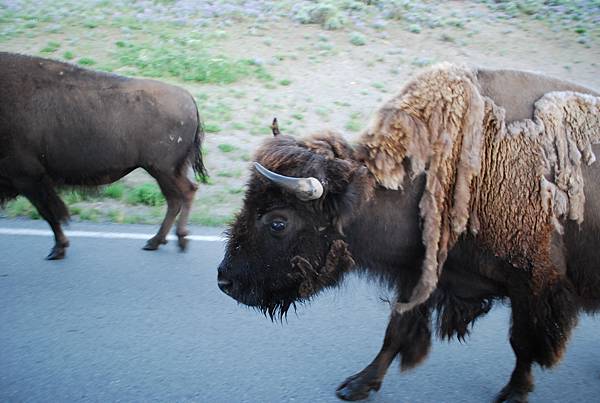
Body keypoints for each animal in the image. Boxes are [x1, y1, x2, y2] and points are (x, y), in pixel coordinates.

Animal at [0, 52, 206, 258]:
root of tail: (189, 98)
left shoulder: (28, 178)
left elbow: (49, 213)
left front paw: (58, 249)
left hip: (163, 170)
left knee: (184, 194)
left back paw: (175, 239)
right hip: (167, 171)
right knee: (177, 197)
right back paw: (156, 241)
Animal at [219, 64, 600, 402]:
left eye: (278, 222)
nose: (225, 281)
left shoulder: (534, 285)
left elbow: (522, 344)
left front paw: (514, 393)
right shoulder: (420, 276)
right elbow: (395, 333)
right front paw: (356, 386)